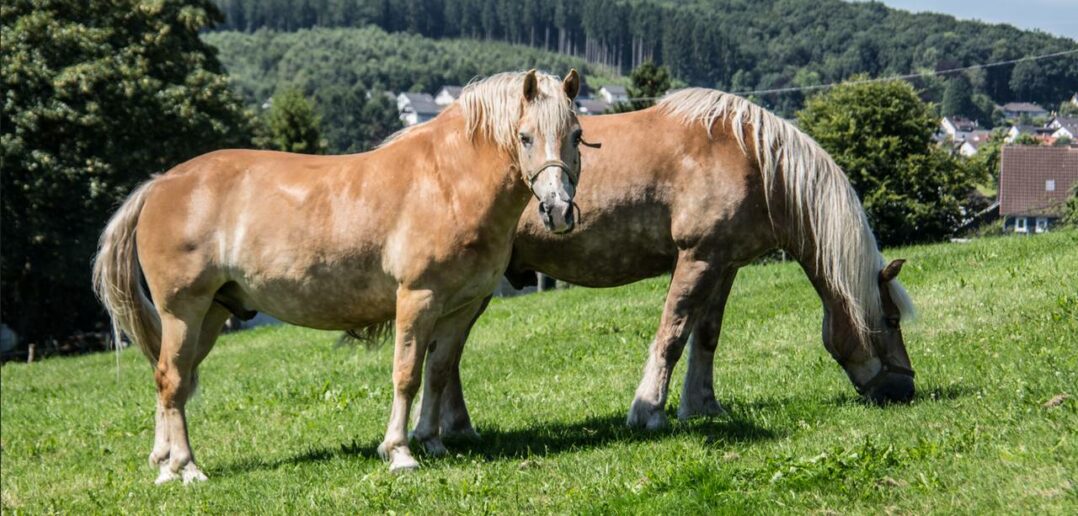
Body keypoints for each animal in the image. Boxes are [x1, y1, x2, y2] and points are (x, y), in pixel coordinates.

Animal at [92, 69, 582, 480]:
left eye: (576, 135)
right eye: (525, 137)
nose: (557, 210)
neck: (446, 181)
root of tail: (159, 184)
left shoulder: (458, 310)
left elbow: (438, 373)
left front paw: (431, 441)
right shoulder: (417, 299)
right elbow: (407, 374)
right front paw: (399, 452)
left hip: (210, 315)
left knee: (172, 378)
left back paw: (164, 462)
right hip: (183, 312)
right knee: (172, 380)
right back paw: (187, 467)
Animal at [420, 86, 918, 437]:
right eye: (891, 320)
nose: (905, 390)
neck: (754, 160)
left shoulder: (722, 264)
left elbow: (706, 336)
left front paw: (702, 407)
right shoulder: (696, 259)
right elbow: (673, 334)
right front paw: (649, 411)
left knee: (448, 352)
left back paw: (458, 428)